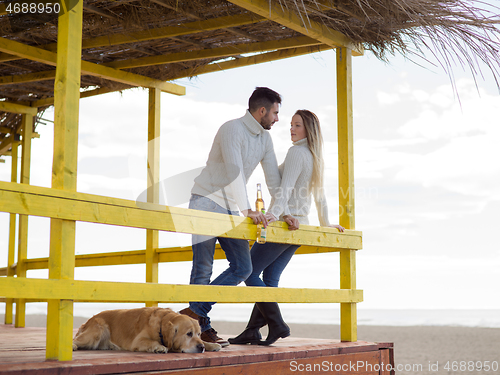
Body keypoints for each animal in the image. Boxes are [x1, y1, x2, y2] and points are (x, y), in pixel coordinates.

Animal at [72, 306, 221, 354]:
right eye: (189, 334)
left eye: (199, 334)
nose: (201, 348)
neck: (161, 323)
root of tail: (90, 319)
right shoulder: (138, 340)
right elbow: (152, 342)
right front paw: (159, 347)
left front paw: (211, 345)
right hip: (98, 330)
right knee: (75, 340)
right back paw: (73, 346)